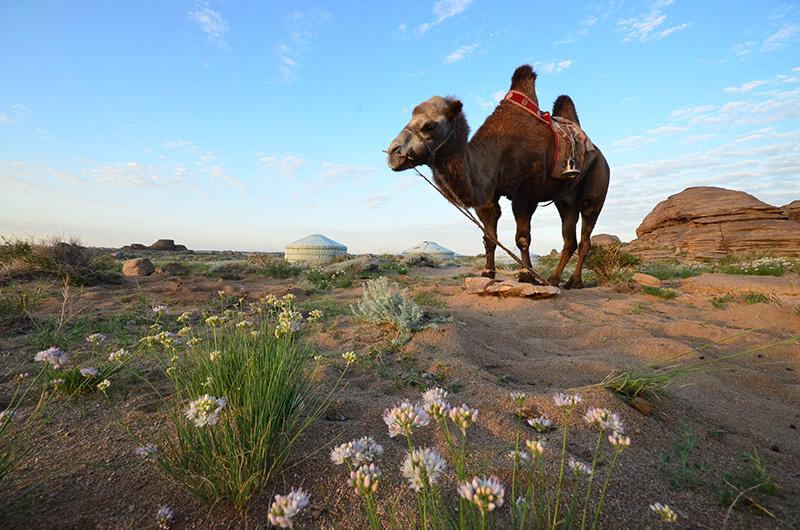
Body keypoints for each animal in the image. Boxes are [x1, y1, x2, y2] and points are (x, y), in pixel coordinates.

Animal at [386, 66, 608, 290]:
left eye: (429, 126)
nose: (393, 152)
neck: (497, 150)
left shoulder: (526, 191)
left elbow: (522, 238)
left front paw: (526, 274)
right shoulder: (488, 194)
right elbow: (489, 237)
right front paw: (487, 272)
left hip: (596, 187)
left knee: (585, 236)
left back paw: (575, 281)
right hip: (565, 200)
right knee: (569, 239)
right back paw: (554, 280)